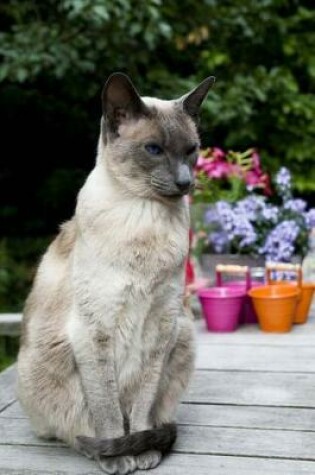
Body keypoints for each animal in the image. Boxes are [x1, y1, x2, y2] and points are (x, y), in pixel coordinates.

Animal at [17, 72, 215, 474]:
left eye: (191, 150)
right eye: (154, 149)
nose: (185, 182)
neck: (145, 216)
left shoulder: (160, 328)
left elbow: (139, 409)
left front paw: (142, 453)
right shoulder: (96, 333)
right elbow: (108, 412)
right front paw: (121, 457)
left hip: (183, 334)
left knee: (153, 414)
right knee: (73, 431)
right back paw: (101, 453)